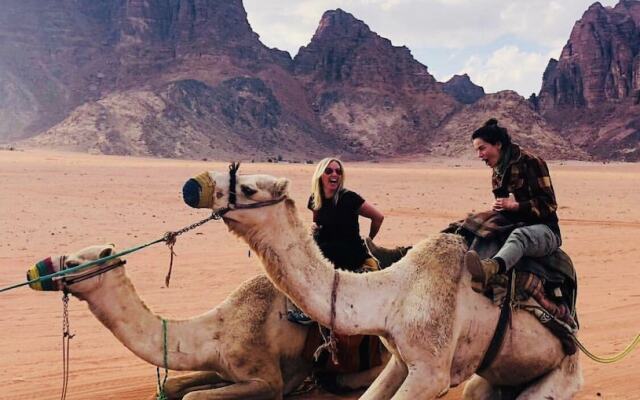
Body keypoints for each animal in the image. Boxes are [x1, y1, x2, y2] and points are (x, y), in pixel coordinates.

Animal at [27, 244, 388, 396]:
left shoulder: (264, 379)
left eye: (72, 262)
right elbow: (173, 385)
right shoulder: (221, 366)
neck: (215, 331)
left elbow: (195, 396)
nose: (32, 272)